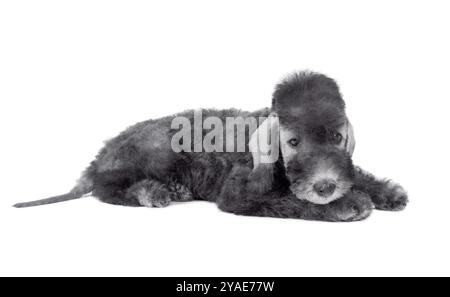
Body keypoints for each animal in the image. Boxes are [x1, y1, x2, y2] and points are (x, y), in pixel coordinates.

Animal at [14, 71, 408, 220]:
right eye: (293, 142)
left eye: (337, 137)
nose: (326, 186)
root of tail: (99, 156)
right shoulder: (240, 192)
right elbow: (291, 199)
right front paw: (349, 203)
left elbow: (357, 173)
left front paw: (386, 192)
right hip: (156, 147)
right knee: (106, 188)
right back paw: (153, 192)